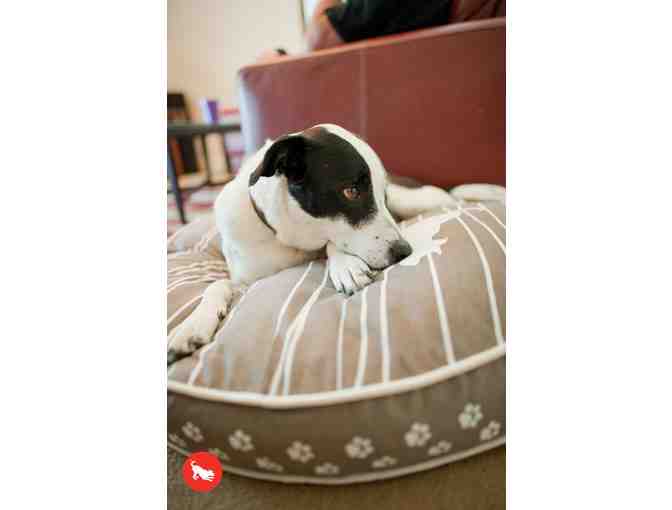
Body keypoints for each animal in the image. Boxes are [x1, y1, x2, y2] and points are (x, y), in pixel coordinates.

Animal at [167, 123, 474, 363]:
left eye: (381, 194)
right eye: (351, 191)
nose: (403, 251)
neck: (287, 239)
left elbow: (332, 242)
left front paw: (346, 266)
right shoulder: (245, 281)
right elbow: (217, 286)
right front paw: (191, 326)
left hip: (416, 199)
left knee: (455, 198)